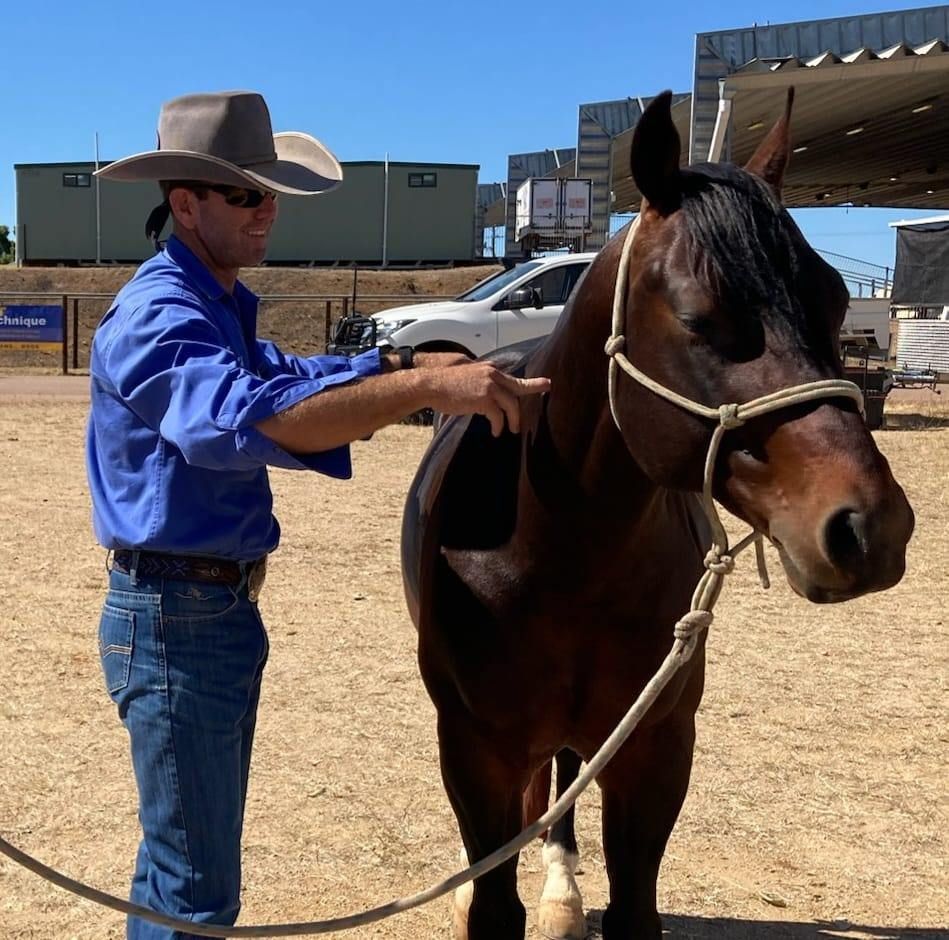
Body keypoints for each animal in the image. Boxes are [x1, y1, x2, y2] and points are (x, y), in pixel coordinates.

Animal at [400, 90, 914, 940]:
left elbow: (634, 906)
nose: (869, 528)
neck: (557, 552)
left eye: (837, 299)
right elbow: (494, 902)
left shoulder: (655, 749)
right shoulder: (476, 752)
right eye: (700, 317)